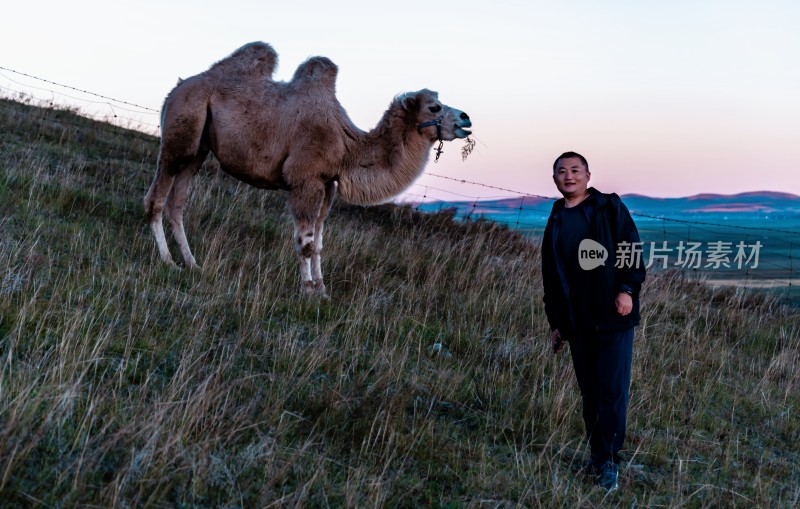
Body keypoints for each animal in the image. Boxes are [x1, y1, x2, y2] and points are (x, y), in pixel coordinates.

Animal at [144, 43, 472, 298]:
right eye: (434, 107)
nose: (465, 118)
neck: (346, 146)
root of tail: (178, 87)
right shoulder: (305, 180)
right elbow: (305, 242)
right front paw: (306, 290)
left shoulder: (327, 185)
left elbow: (319, 243)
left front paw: (322, 290)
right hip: (181, 132)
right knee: (155, 200)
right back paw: (167, 261)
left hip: (198, 151)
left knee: (177, 205)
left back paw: (193, 263)